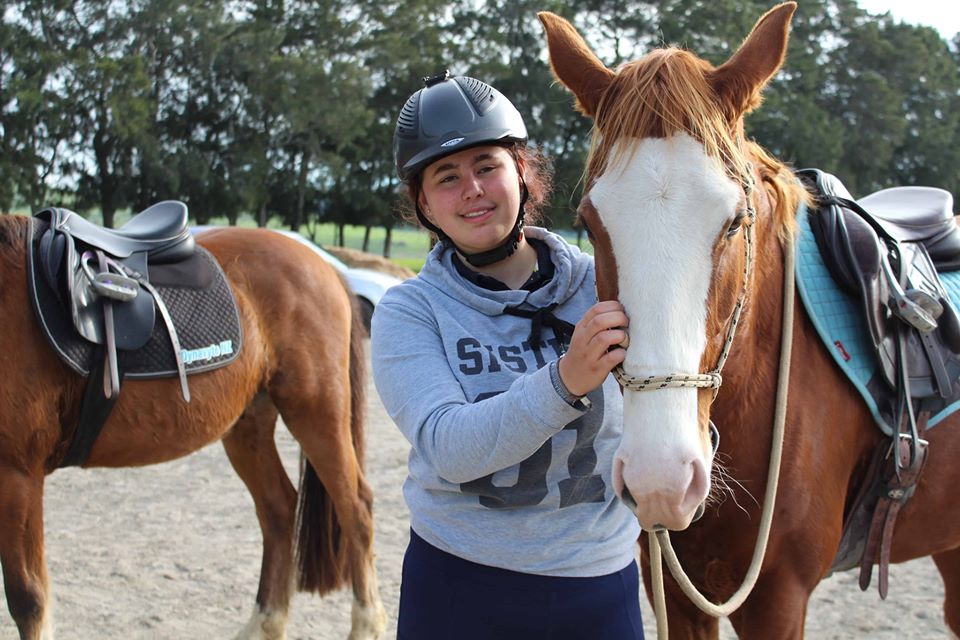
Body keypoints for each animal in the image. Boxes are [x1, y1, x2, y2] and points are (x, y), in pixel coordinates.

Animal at [1, 219, 390, 636]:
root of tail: (326, 268)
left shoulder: (19, 475)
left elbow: (28, 599)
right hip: (247, 427)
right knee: (279, 509)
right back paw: (264, 624)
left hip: (317, 413)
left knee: (356, 509)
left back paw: (365, 625)